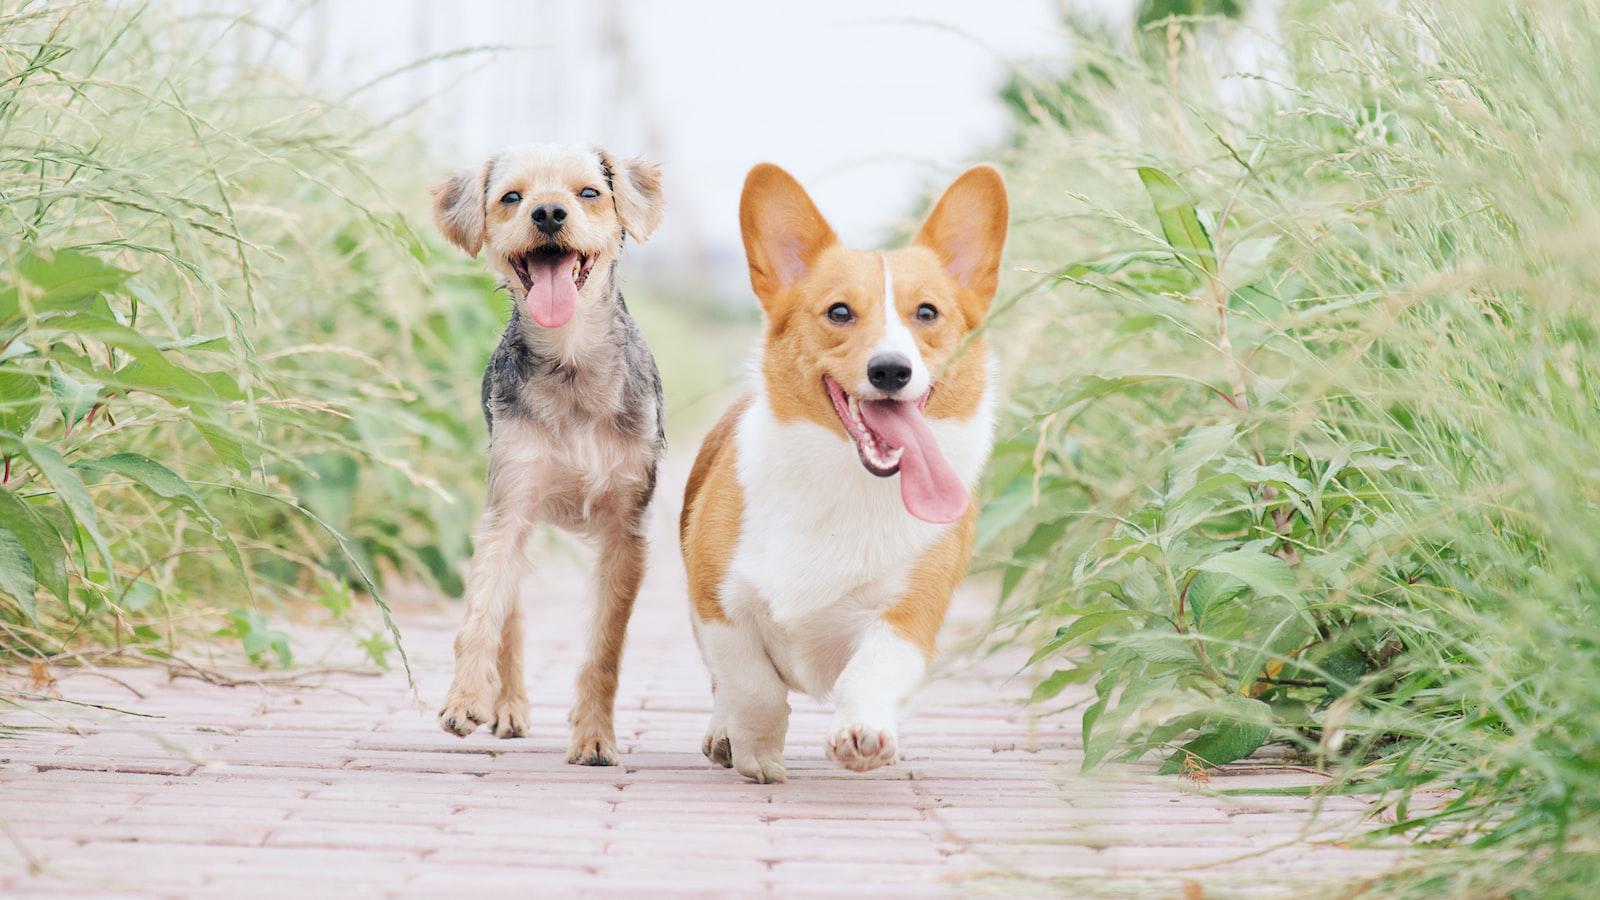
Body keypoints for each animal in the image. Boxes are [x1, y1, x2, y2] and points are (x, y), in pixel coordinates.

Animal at [428, 141, 665, 762]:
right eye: (512, 197)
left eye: (589, 192)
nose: (549, 213)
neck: (571, 358)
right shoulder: (508, 506)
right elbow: (481, 615)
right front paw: (466, 698)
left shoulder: (625, 531)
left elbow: (605, 646)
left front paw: (594, 735)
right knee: (510, 618)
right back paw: (506, 706)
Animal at [678, 160, 1004, 778]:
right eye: (839, 312)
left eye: (927, 313)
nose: (891, 370)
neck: (846, 482)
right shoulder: (718, 606)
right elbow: (752, 686)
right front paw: (756, 751)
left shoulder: (909, 617)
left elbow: (869, 671)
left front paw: (863, 733)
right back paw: (723, 734)